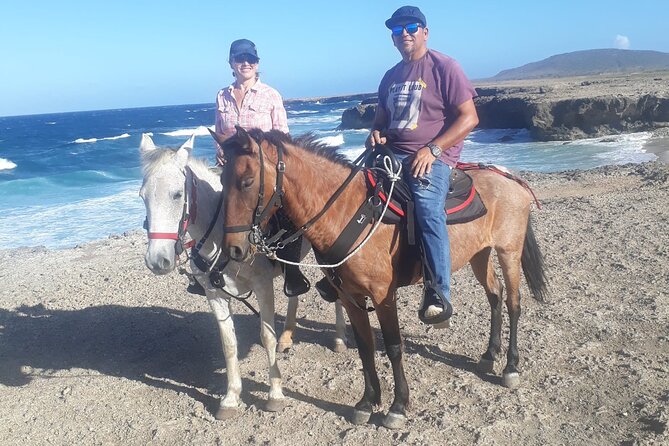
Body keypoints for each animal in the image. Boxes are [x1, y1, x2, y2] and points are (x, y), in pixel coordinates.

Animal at [141, 134, 350, 420]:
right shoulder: (215, 295)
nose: (157, 260)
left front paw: (275, 394)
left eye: (177, 194)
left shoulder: (262, 287)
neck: (220, 235)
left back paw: (339, 338)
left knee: (337, 294)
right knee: (294, 293)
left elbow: (266, 336)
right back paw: (288, 335)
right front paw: (230, 398)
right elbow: (228, 344)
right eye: (143, 196)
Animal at [214, 126, 548, 428]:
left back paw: (510, 367)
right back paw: (490, 353)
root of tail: (510, 178)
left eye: (246, 182)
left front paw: (398, 406)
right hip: (480, 254)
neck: (348, 212)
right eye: (221, 181)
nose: (233, 248)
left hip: (509, 252)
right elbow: (365, 347)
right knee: (495, 294)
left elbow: (393, 346)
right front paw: (367, 401)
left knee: (514, 303)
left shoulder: (383, 295)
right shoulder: (350, 296)